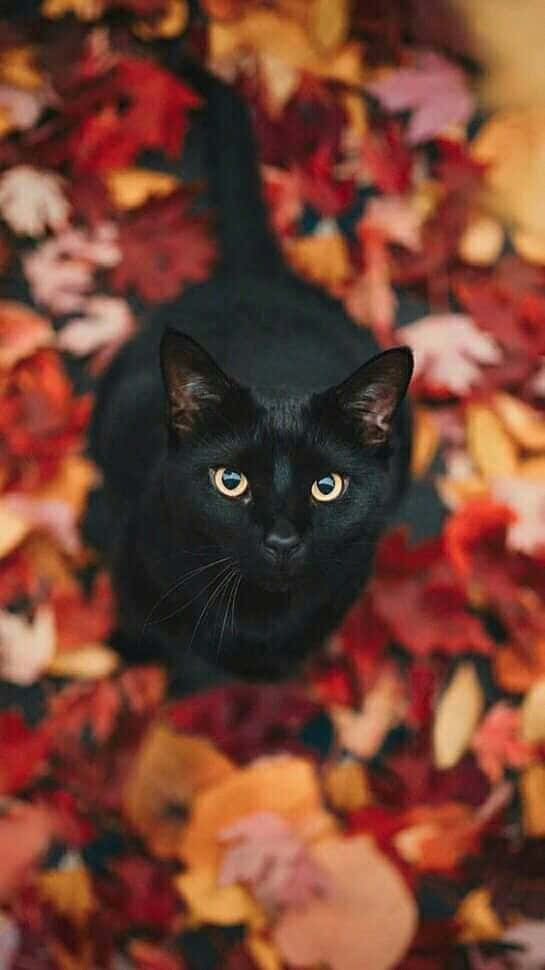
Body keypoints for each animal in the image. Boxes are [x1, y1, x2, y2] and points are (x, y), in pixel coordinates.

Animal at [88, 64, 412, 684]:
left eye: (327, 486)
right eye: (229, 481)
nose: (282, 539)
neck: (256, 618)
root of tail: (258, 272)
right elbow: (158, 637)